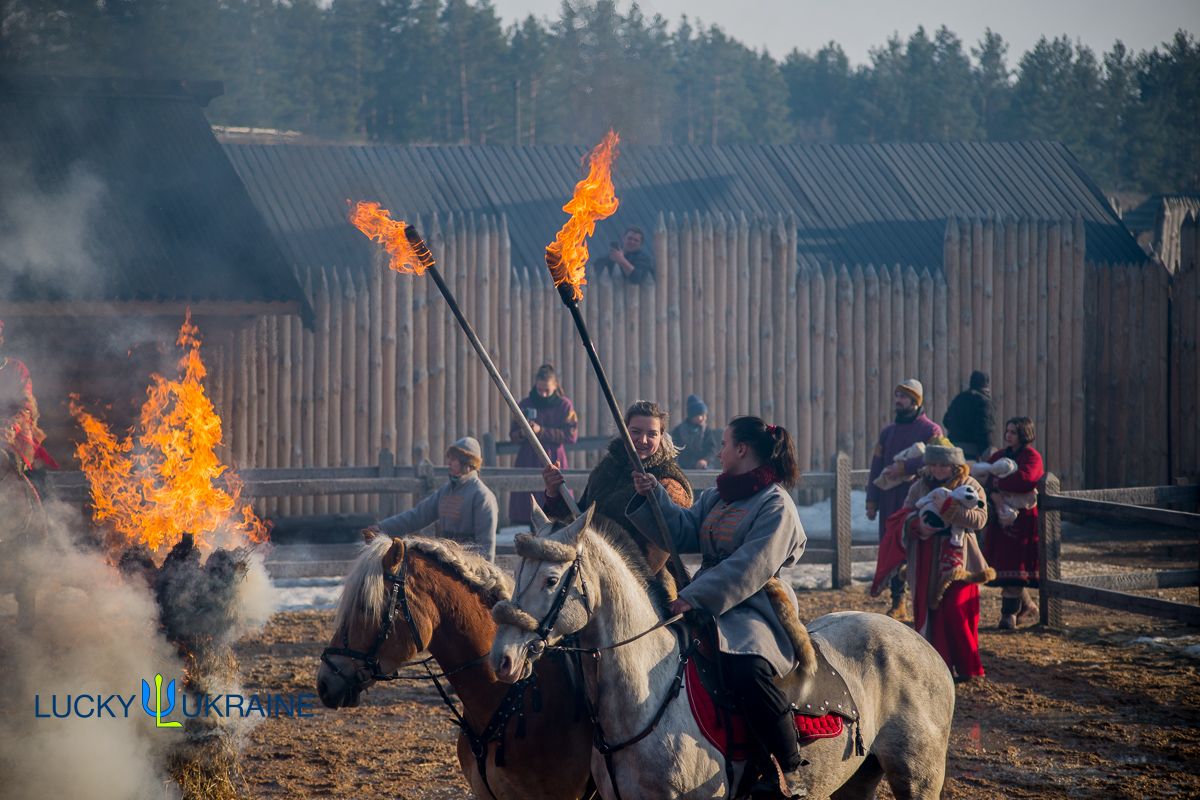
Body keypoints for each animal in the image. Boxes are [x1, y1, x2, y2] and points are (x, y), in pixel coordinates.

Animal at [487, 510, 955, 796]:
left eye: (551, 580)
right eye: (518, 573)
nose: (502, 659)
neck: (649, 700)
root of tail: (926, 648)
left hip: (920, 777)